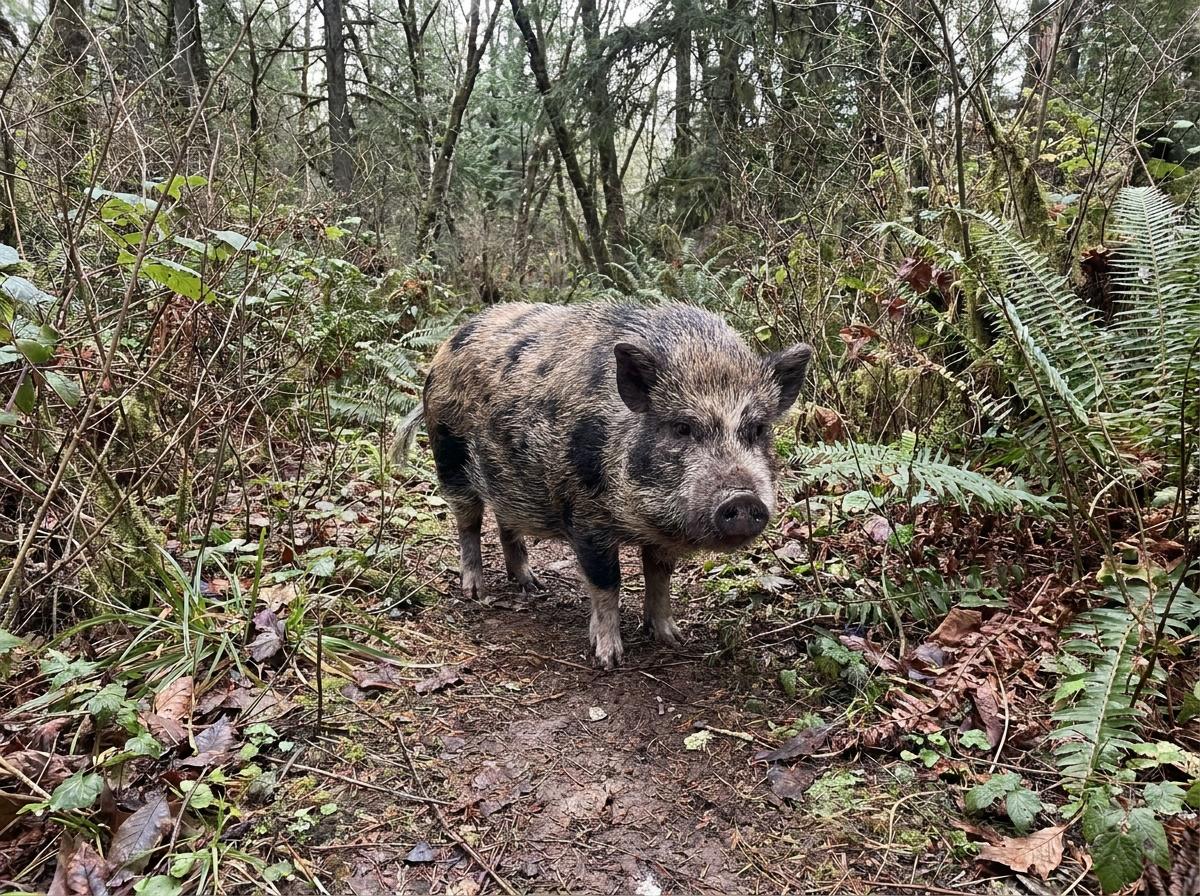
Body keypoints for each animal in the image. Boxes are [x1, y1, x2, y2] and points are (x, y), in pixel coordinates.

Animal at [421, 301, 812, 669]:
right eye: (682, 427)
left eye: (757, 429)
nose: (743, 499)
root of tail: (451, 341)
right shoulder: (585, 516)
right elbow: (607, 582)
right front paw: (609, 658)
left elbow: (659, 576)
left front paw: (673, 638)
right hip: (447, 453)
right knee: (468, 523)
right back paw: (474, 591)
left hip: (508, 478)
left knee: (506, 523)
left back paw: (532, 584)